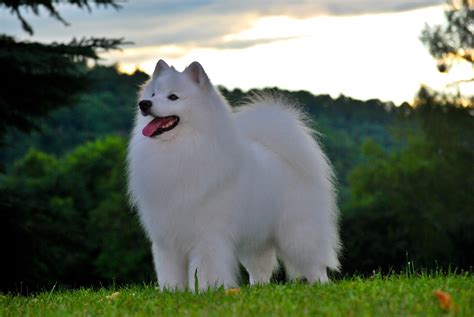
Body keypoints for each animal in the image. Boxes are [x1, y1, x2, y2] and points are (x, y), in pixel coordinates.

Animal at [127, 58, 340, 288]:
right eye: (153, 94)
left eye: (173, 97)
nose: (144, 104)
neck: (179, 148)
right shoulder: (167, 240)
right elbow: (170, 273)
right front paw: (172, 291)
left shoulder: (208, 236)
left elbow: (206, 270)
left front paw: (207, 290)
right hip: (256, 238)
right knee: (260, 270)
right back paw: (257, 289)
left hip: (298, 233)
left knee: (315, 263)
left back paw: (320, 285)